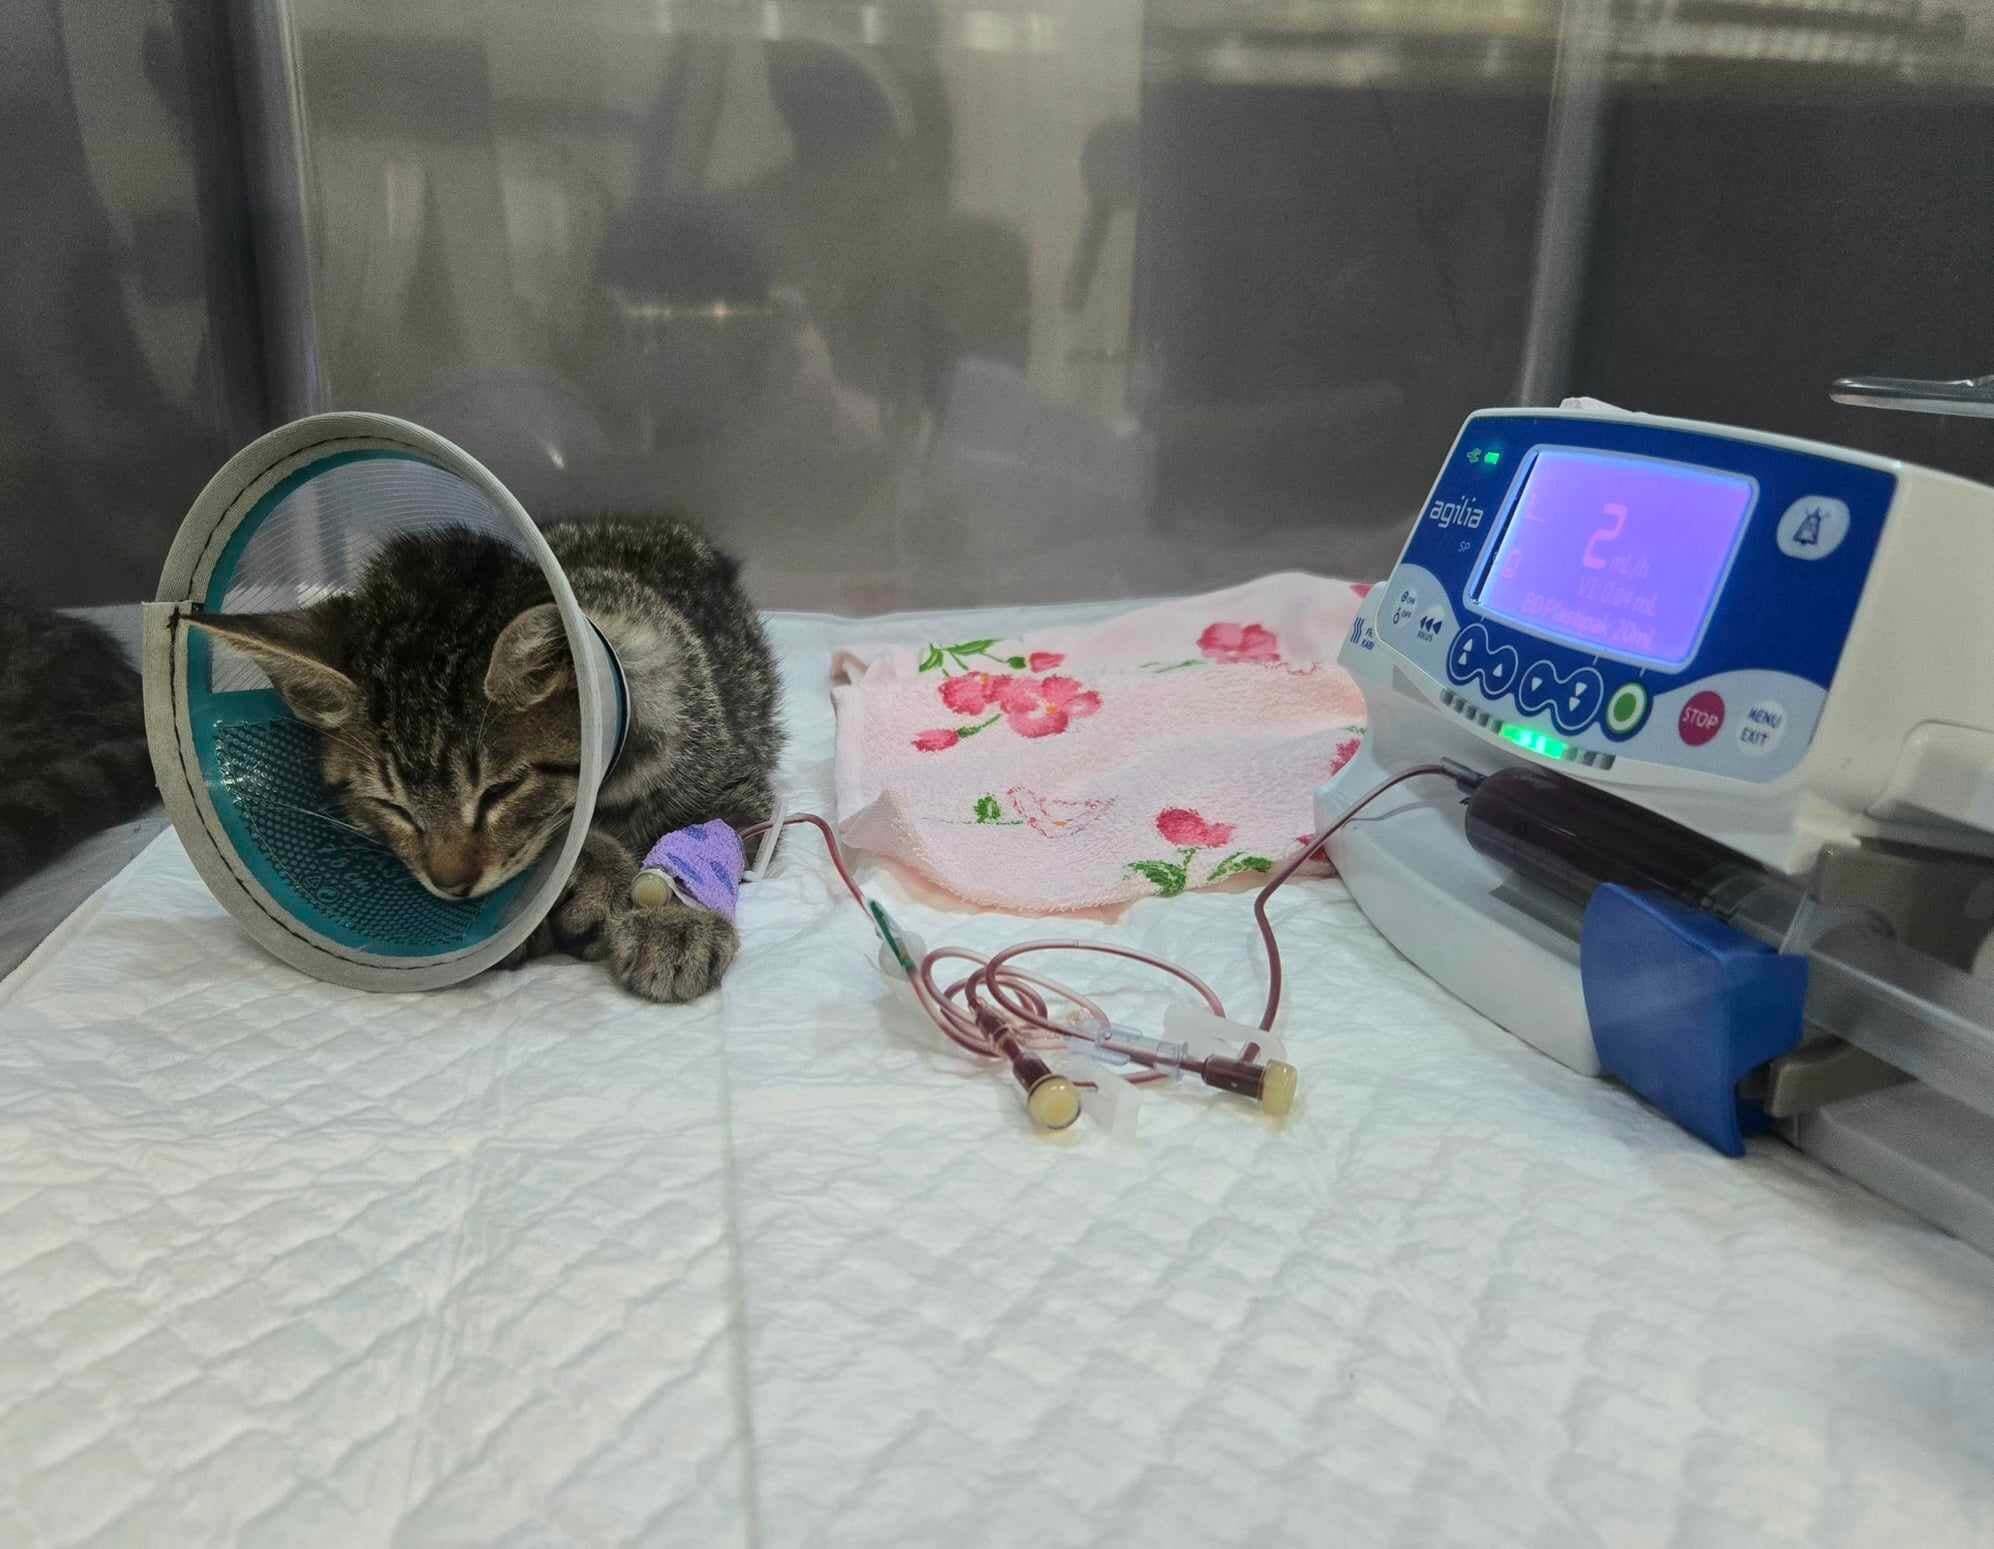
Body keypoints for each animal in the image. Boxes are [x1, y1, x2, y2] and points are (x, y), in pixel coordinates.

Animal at [190, 514, 783, 1002]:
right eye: (392, 806)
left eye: (500, 791)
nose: (450, 884)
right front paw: (597, 876)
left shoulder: (737, 786)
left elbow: (702, 838)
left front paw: (672, 919)